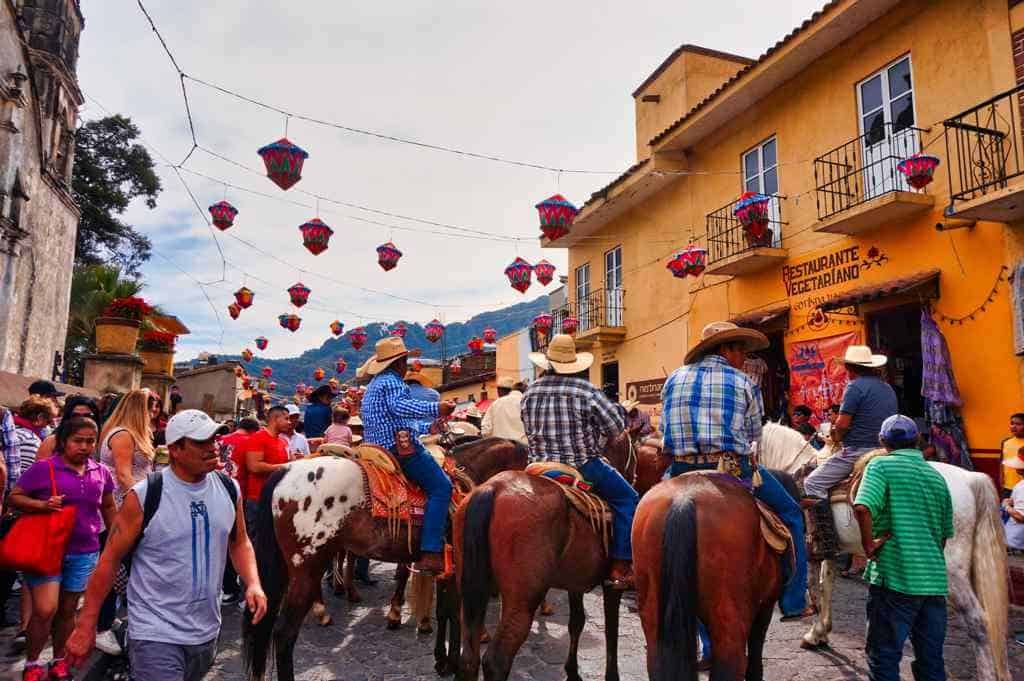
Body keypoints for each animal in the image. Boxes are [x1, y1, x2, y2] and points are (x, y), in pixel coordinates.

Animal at [242, 438, 524, 679]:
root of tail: (285, 471)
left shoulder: (446, 569)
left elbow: (444, 610)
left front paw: (441, 661)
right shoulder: (457, 566)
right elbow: (454, 613)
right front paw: (451, 662)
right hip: (307, 568)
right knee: (284, 634)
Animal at [456, 471, 622, 679]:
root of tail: (492, 487)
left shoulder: (575, 586)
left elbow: (577, 622)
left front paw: (572, 671)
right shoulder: (612, 585)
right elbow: (611, 631)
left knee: (469, 659)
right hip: (523, 601)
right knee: (496, 662)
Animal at [634, 473, 786, 679]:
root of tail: (683, 500)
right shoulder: (766, 606)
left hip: (653, 615)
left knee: (655, 660)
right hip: (730, 619)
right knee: (730, 665)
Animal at [757, 421, 1011, 679]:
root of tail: (972, 479)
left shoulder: (809, 550)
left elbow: (813, 589)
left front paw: (813, 631)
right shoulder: (830, 550)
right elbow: (826, 585)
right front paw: (822, 632)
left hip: (953, 572)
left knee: (979, 621)